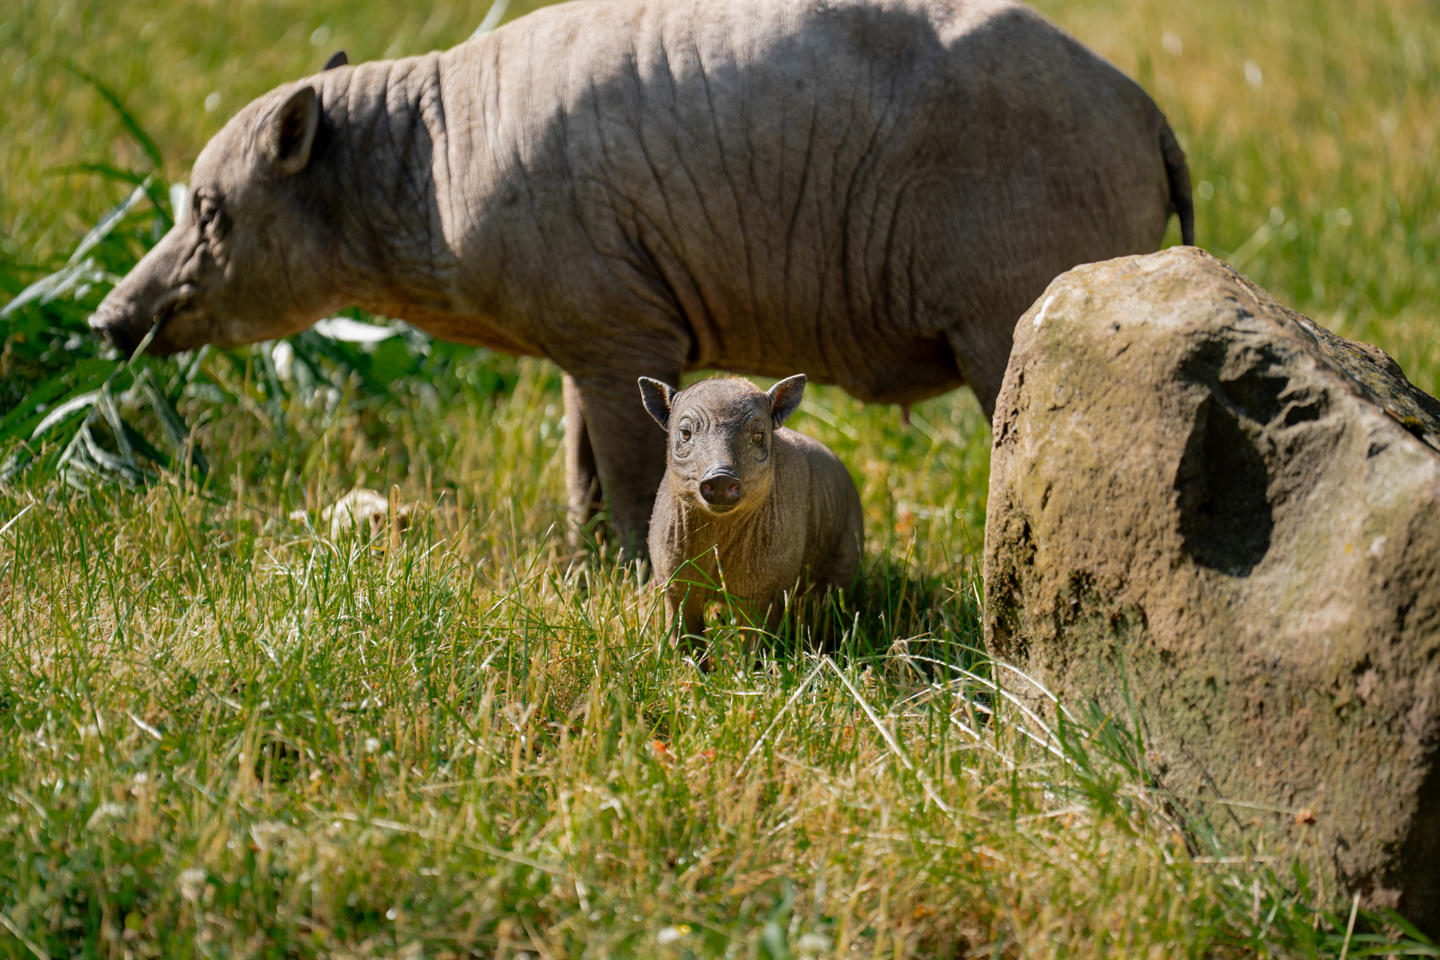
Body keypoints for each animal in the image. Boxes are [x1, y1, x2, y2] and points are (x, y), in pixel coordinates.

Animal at [88, 0, 1195, 551]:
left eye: (209, 211)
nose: (105, 322)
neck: (432, 156)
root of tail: (1147, 107)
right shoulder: (594, 342)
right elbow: (581, 465)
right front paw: (581, 567)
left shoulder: (621, 334)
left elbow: (625, 477)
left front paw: (628, 570)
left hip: (1018, 323)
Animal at [638, 374, 863, 640]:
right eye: (685, 433)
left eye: (757, 436)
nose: (721, 478)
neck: (718, 533)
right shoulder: (674, 582)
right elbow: (685, 636)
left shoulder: (769, 588)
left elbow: (758, 638)